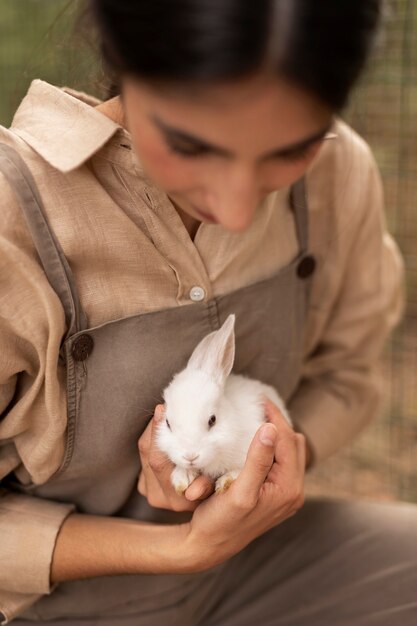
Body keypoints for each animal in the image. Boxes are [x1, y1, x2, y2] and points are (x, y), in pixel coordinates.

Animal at [154, 312, 290, 492]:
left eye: (212, 420)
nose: (190, 456)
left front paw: (225, 481)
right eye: (168, 423)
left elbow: (239, 470)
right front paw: (182, 477)